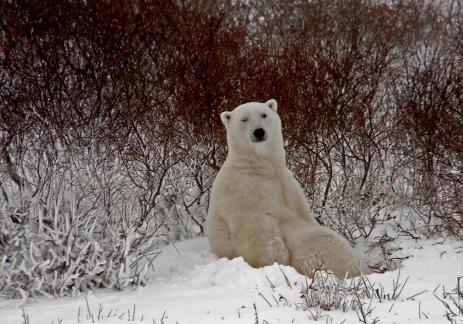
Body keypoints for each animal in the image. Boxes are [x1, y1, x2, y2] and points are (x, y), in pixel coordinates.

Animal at [207, 99, 370, 278]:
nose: (259, 132)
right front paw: (276, 261)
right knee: (320, 240)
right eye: (244, 119)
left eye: (264, 114)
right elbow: (256, 225)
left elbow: (302, 211)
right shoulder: (244, 189)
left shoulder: (286, 182)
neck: (260, 166)